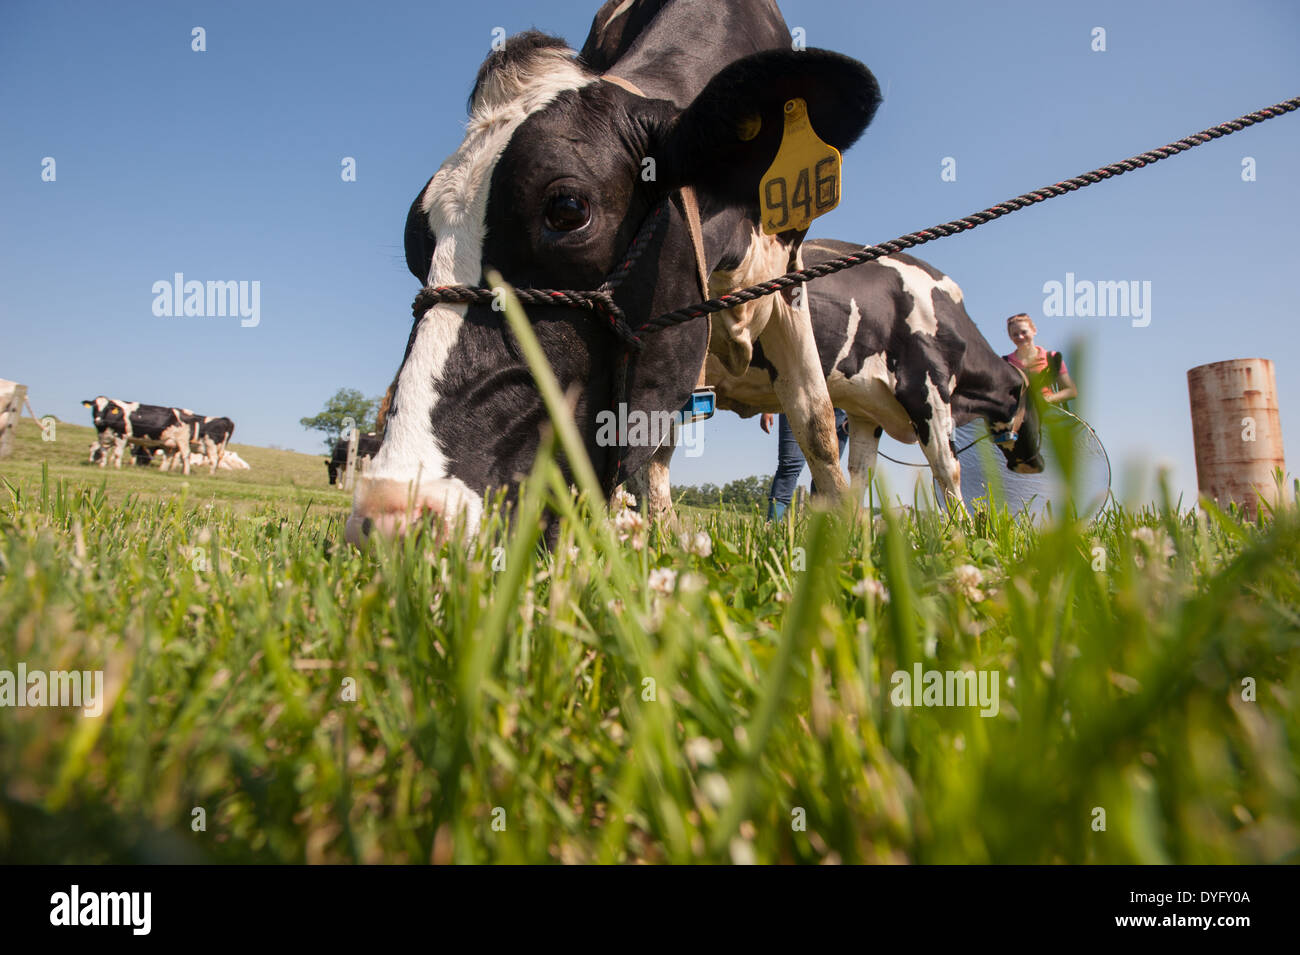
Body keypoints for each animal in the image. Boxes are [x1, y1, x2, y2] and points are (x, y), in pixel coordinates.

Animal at [345, 0, 883, 540]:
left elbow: (815, 422)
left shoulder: (789, 272)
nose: (389, 517)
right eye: (415, 244)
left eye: (567, 209)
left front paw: (848, 539)